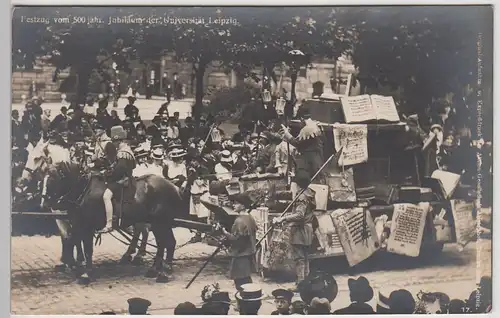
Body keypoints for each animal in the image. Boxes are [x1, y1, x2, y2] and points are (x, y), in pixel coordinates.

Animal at [42, 161, 184, 284]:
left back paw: (165, 273)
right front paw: (79, 269)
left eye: (52, 177)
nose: (44, 203)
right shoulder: (78, 225)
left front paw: (86, 274)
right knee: (161, 244)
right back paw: (153, 270)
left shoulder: (86, 227)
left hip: (162, 223)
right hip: (157, 224)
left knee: (169, 243)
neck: (85, 190)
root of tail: (174, 187)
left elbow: (87, 249)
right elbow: (77, 244)